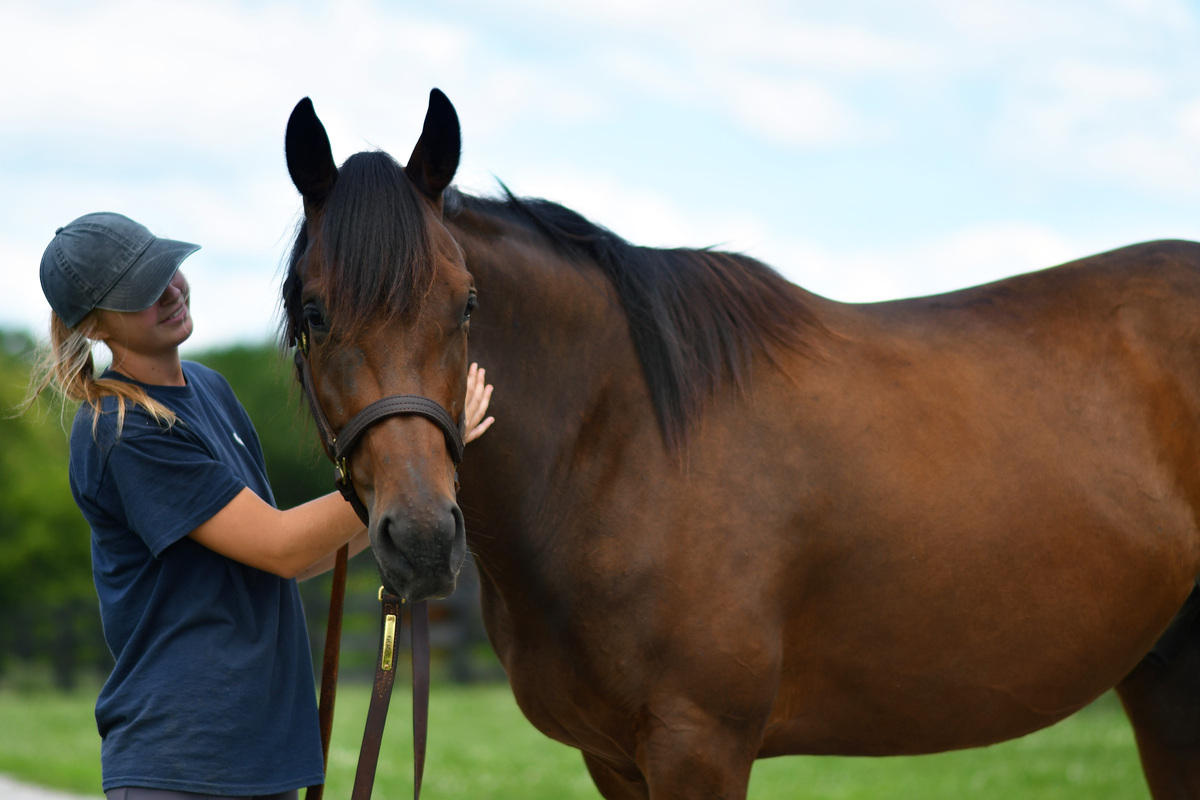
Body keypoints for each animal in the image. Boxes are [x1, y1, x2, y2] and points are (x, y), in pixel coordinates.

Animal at [281, 89, 1200, 799]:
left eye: (466, 304)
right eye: (313, 312)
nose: (422, 539)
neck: (622, 446)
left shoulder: (700, 744)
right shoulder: (616, 758)